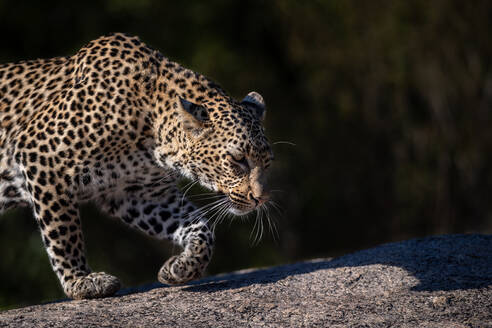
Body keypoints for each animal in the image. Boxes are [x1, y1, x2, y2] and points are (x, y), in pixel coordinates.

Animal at [0, 32, 272, 300]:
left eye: (267, 164)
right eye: (238, 159)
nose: (260, 199)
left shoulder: (140, 192)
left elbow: (200, 227)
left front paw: (182, 267)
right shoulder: (41, 154)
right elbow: (63, 232)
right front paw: (80, 281)